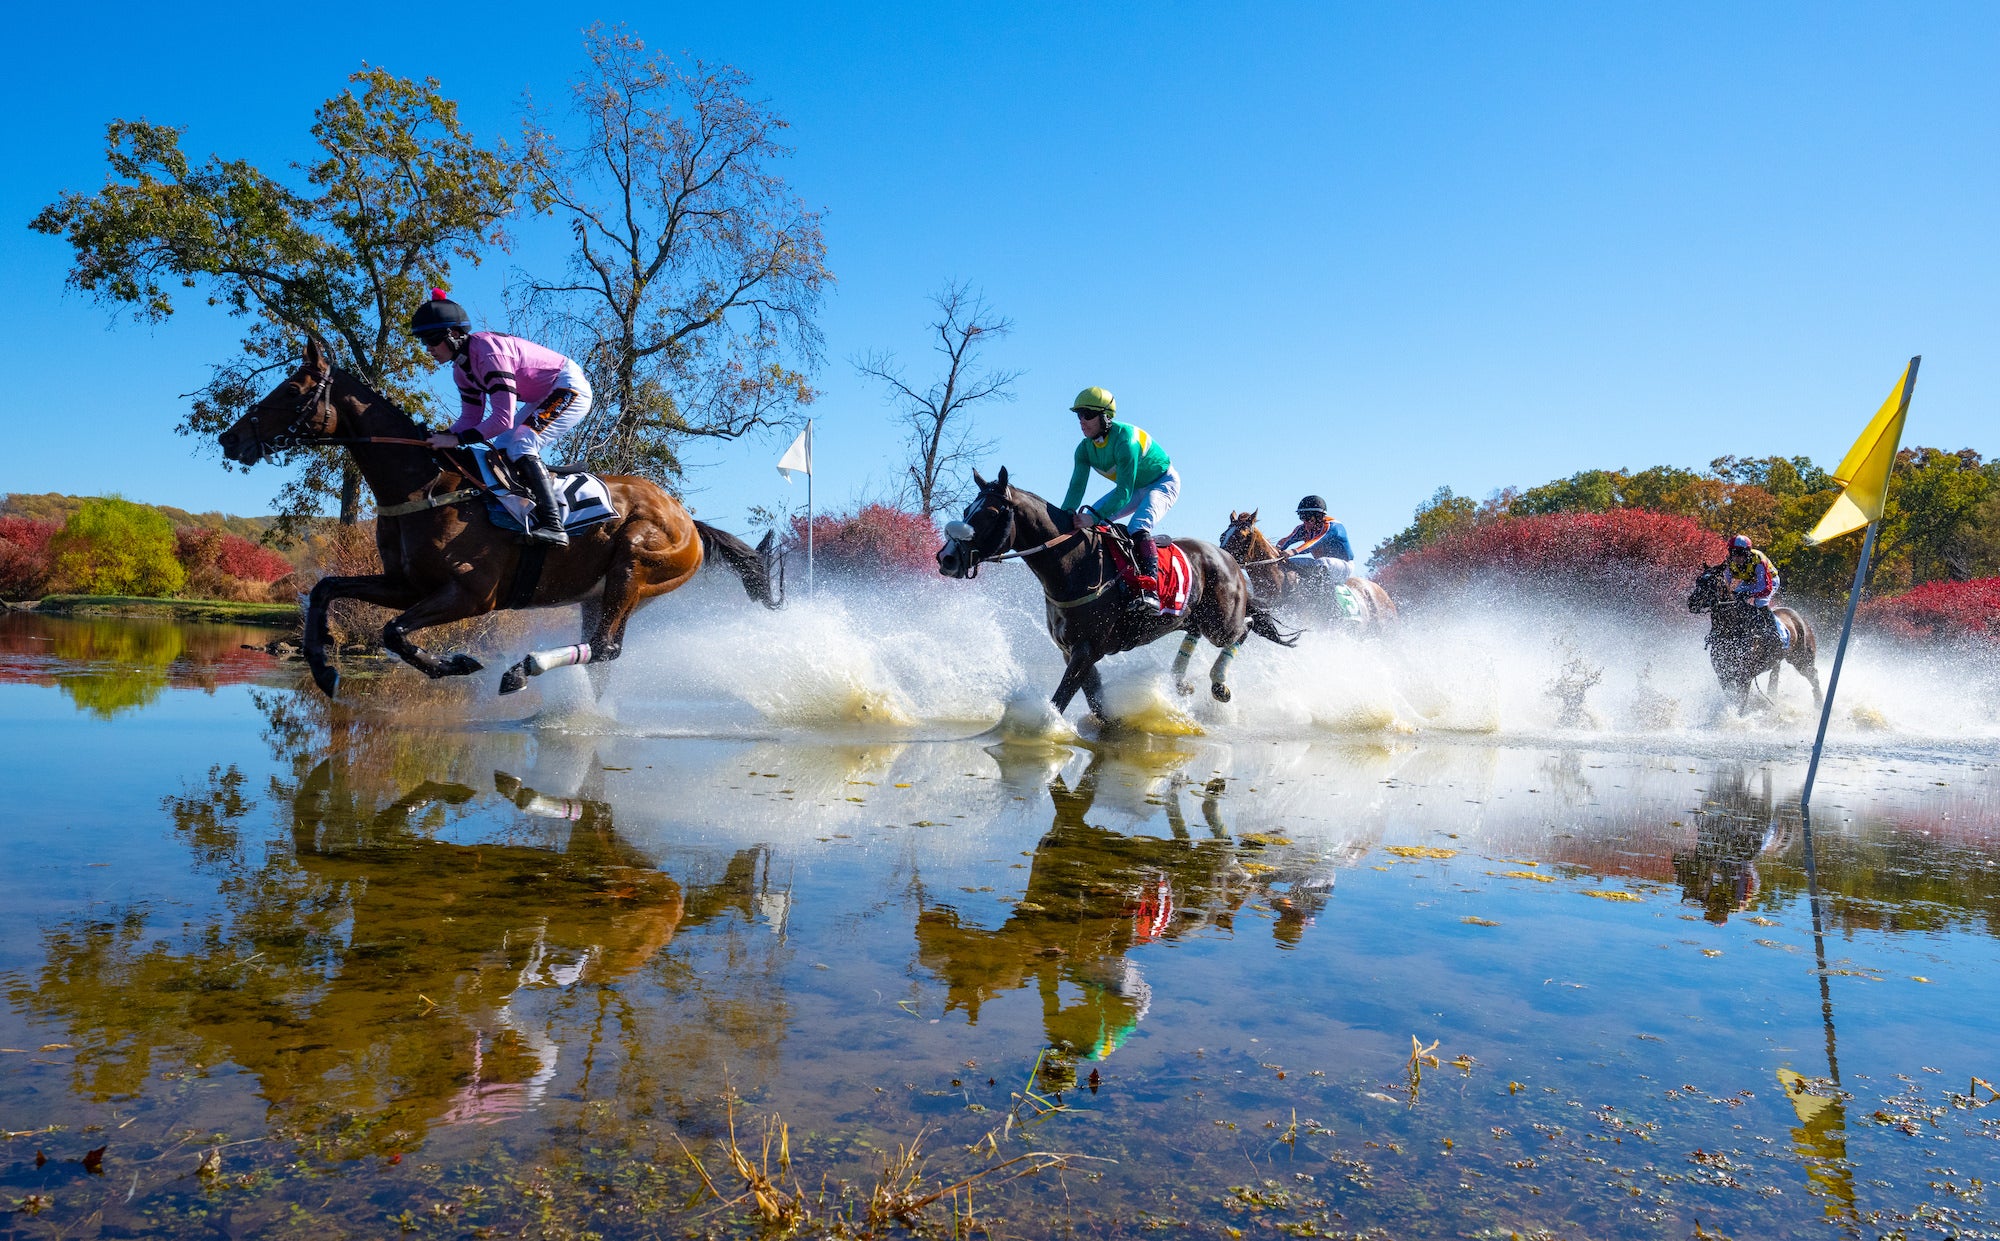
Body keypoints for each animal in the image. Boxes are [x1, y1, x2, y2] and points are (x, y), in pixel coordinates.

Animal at [219, 342, 772, 696]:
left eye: (292, 391)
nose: (231, 438)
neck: (426, 487)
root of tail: (689, 521)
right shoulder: (407, 584)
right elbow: (327, 588)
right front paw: (323, 669)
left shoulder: (471, 594)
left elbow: (393, 632)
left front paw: (456, 663)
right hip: (599, 594)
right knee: (602, 653)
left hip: (635, 566)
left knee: (607, 648)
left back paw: (525, 668)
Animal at [936, 464, 1296, 716]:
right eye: (967, 509)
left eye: (990, 513)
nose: (946, 557)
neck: (1073, 564)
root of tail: (1230, 560)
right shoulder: (1071, 649)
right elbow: (1096, 702)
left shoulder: (1087, 648)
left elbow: (1061, 700)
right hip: (1192, 617)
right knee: (1196, 632)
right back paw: (1179, 683)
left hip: (1221, 624)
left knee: (1245, 627)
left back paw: (1219, 685)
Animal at [1696, 568, 1824, 712]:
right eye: (1697, 581)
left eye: (1711, 583)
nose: (1691, 602)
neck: (1733, 630)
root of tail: (1799, 617)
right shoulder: (1724, 675)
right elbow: (1732, 698)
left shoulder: (1744, 677)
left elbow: (1740, 703)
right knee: (1775, 676)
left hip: (1801, 658)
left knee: (1813, 675)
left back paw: (1819, 704)